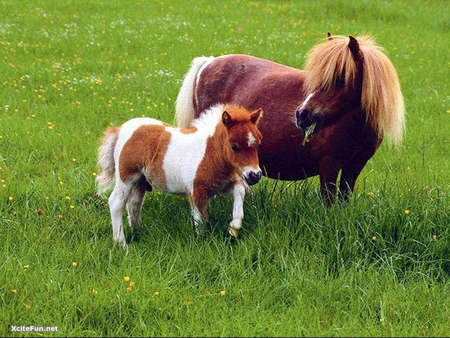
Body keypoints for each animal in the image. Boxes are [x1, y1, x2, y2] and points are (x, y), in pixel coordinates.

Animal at [96, 103, 262, 246]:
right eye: (234, 146)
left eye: (258, 143)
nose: (255, 175)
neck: (209, 153)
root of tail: (119, 129)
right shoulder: (196, 192)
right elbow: (201, 220)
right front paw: (203, 243)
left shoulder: (222, 185)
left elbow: (240, 191)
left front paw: (234, 226)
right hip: (126, 177)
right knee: (116, 202)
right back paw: (122, 244)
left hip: (140, 181)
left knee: (134, 204)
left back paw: (138, 232)